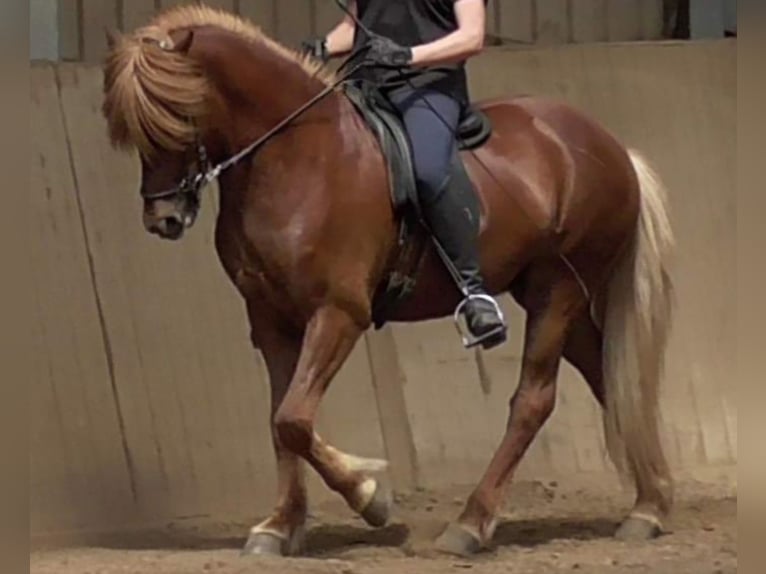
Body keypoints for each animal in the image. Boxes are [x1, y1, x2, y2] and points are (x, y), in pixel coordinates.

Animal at [103, 4, 680, 560]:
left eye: (181, 113)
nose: (164, 219)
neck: (295, 157)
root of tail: (612, 147)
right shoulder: (269, 319)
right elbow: (279, 420)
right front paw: (280, 527)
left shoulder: (338, 313)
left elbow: (293, 418)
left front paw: (369, 496)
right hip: (557, 294)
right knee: (608, 377)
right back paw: (649, 507)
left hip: (556, 292)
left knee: (533, 400)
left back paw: (470, 525)